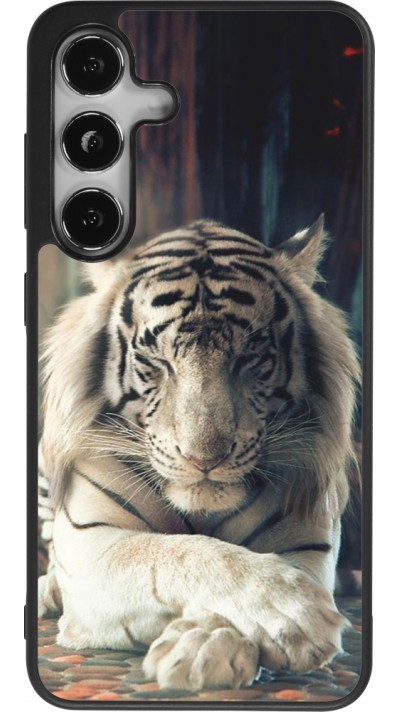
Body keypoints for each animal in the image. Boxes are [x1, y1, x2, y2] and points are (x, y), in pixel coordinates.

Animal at [38, 215, 360, 692]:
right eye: (156, 361)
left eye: (250, 357)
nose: (203, 459)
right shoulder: (92, 543)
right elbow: (179, 552)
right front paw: (293, 612)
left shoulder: (307, 543)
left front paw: (205, 647)